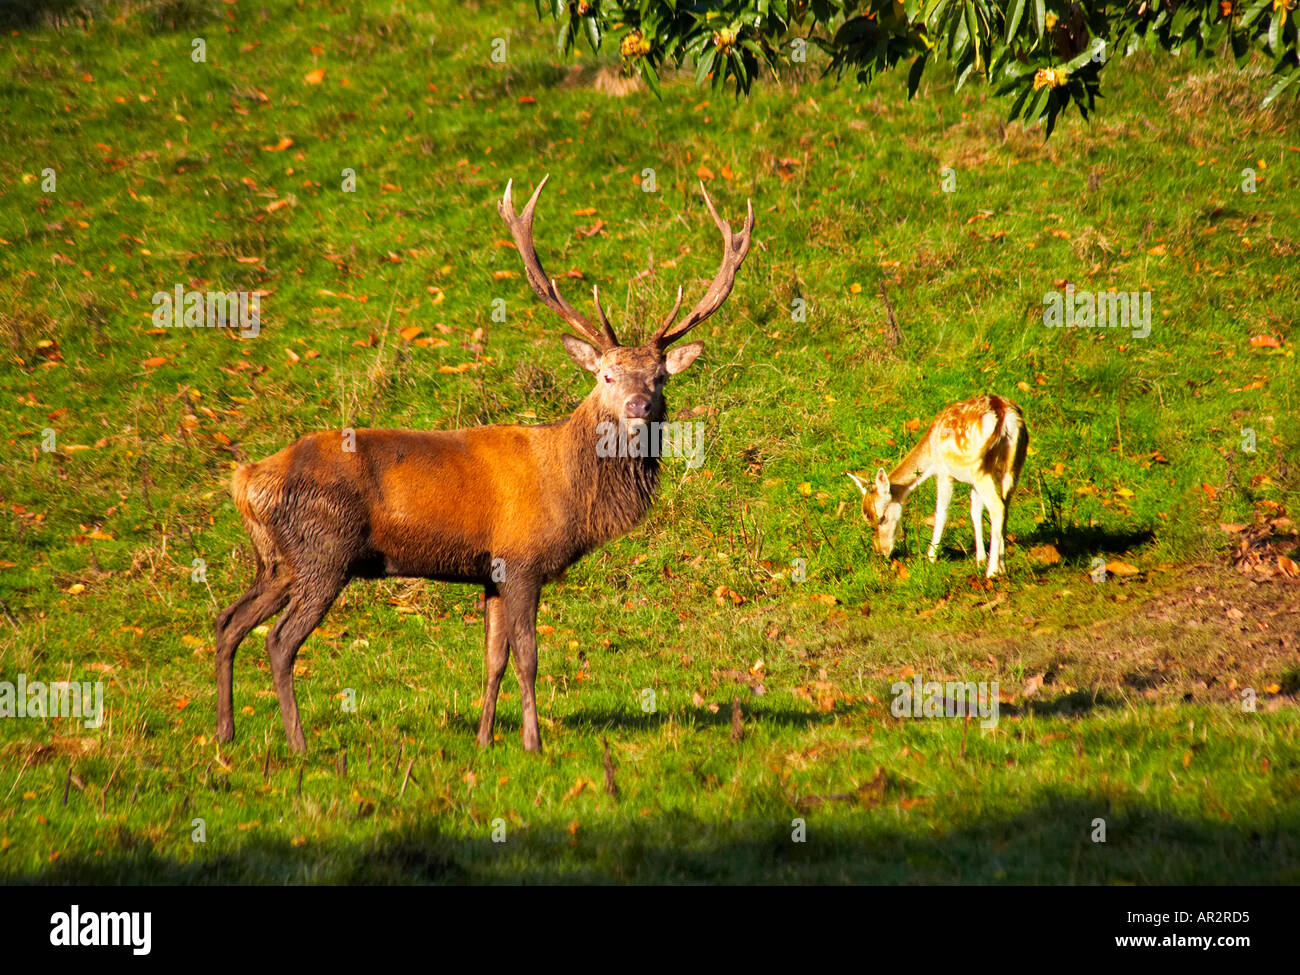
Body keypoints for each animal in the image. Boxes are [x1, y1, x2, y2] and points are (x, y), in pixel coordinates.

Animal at [214, 176, 754, 754]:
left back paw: (225, 733)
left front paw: (484, 738)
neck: (570, 491)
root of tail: (246, 481)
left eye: (660, 377)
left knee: (228, 621)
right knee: (279, 641)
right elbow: (528, 658)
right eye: (606, 376)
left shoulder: (491, 572)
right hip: (324, 552)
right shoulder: (521, 559)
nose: (638, 406)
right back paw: (297, 743)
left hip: (277, 560)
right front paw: (533, 743)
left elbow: (493, 659)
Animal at [847, 394, 1028, 578]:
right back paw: (1002, 566)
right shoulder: (972, 481)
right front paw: (980, 560)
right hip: (1014, 463)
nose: (882, 552)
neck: (931, 453)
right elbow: (975, 512)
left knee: (997, 507)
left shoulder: (943, 471)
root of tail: (1004, 415)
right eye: (867, 521)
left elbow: (942, 512)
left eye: (882, 517)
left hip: (980, 468)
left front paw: (930, 557)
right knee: (1005, 507)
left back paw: (991, 572)